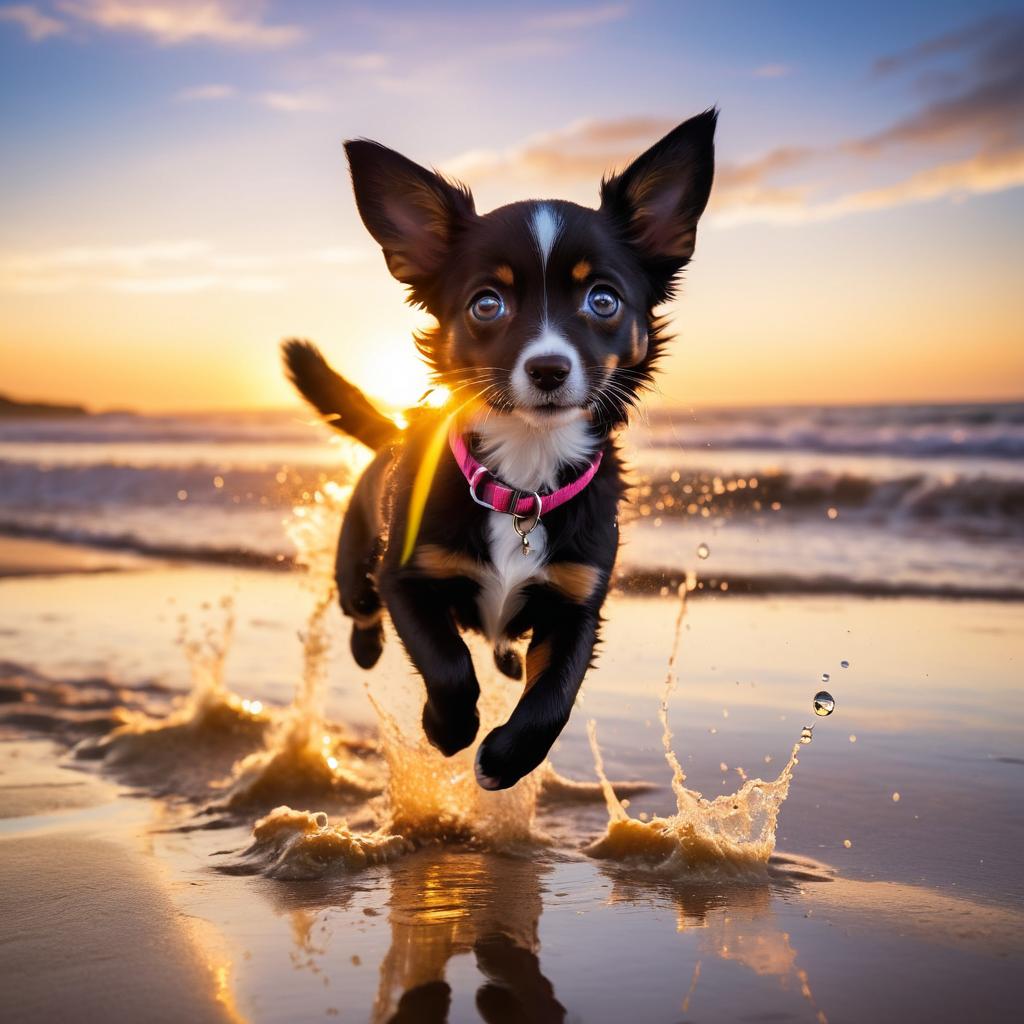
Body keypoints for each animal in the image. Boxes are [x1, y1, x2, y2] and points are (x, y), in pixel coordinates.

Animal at [284, 105, 716, 790]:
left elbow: (555, 696)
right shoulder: (406, 577)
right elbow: (447, 662)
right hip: (356, 565)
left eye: (603, 300)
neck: (522, 478)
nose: (548, 368)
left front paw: (508, 758)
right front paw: (449, 729)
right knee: (361, 608)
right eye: (487, 304)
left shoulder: (578, 604)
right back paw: (367, 647)